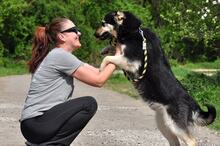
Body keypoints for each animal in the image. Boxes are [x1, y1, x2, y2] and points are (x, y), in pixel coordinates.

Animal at [95, 11, 217, 146]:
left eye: (103, 23)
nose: (94, 34)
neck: (132, 31)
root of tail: (193, 103)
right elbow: (111, 51)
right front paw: (105, 49)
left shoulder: (131, 62)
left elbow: (108, 59)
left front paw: (101, 69)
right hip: (164, 125)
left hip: (174, 124)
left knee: (192, 141)